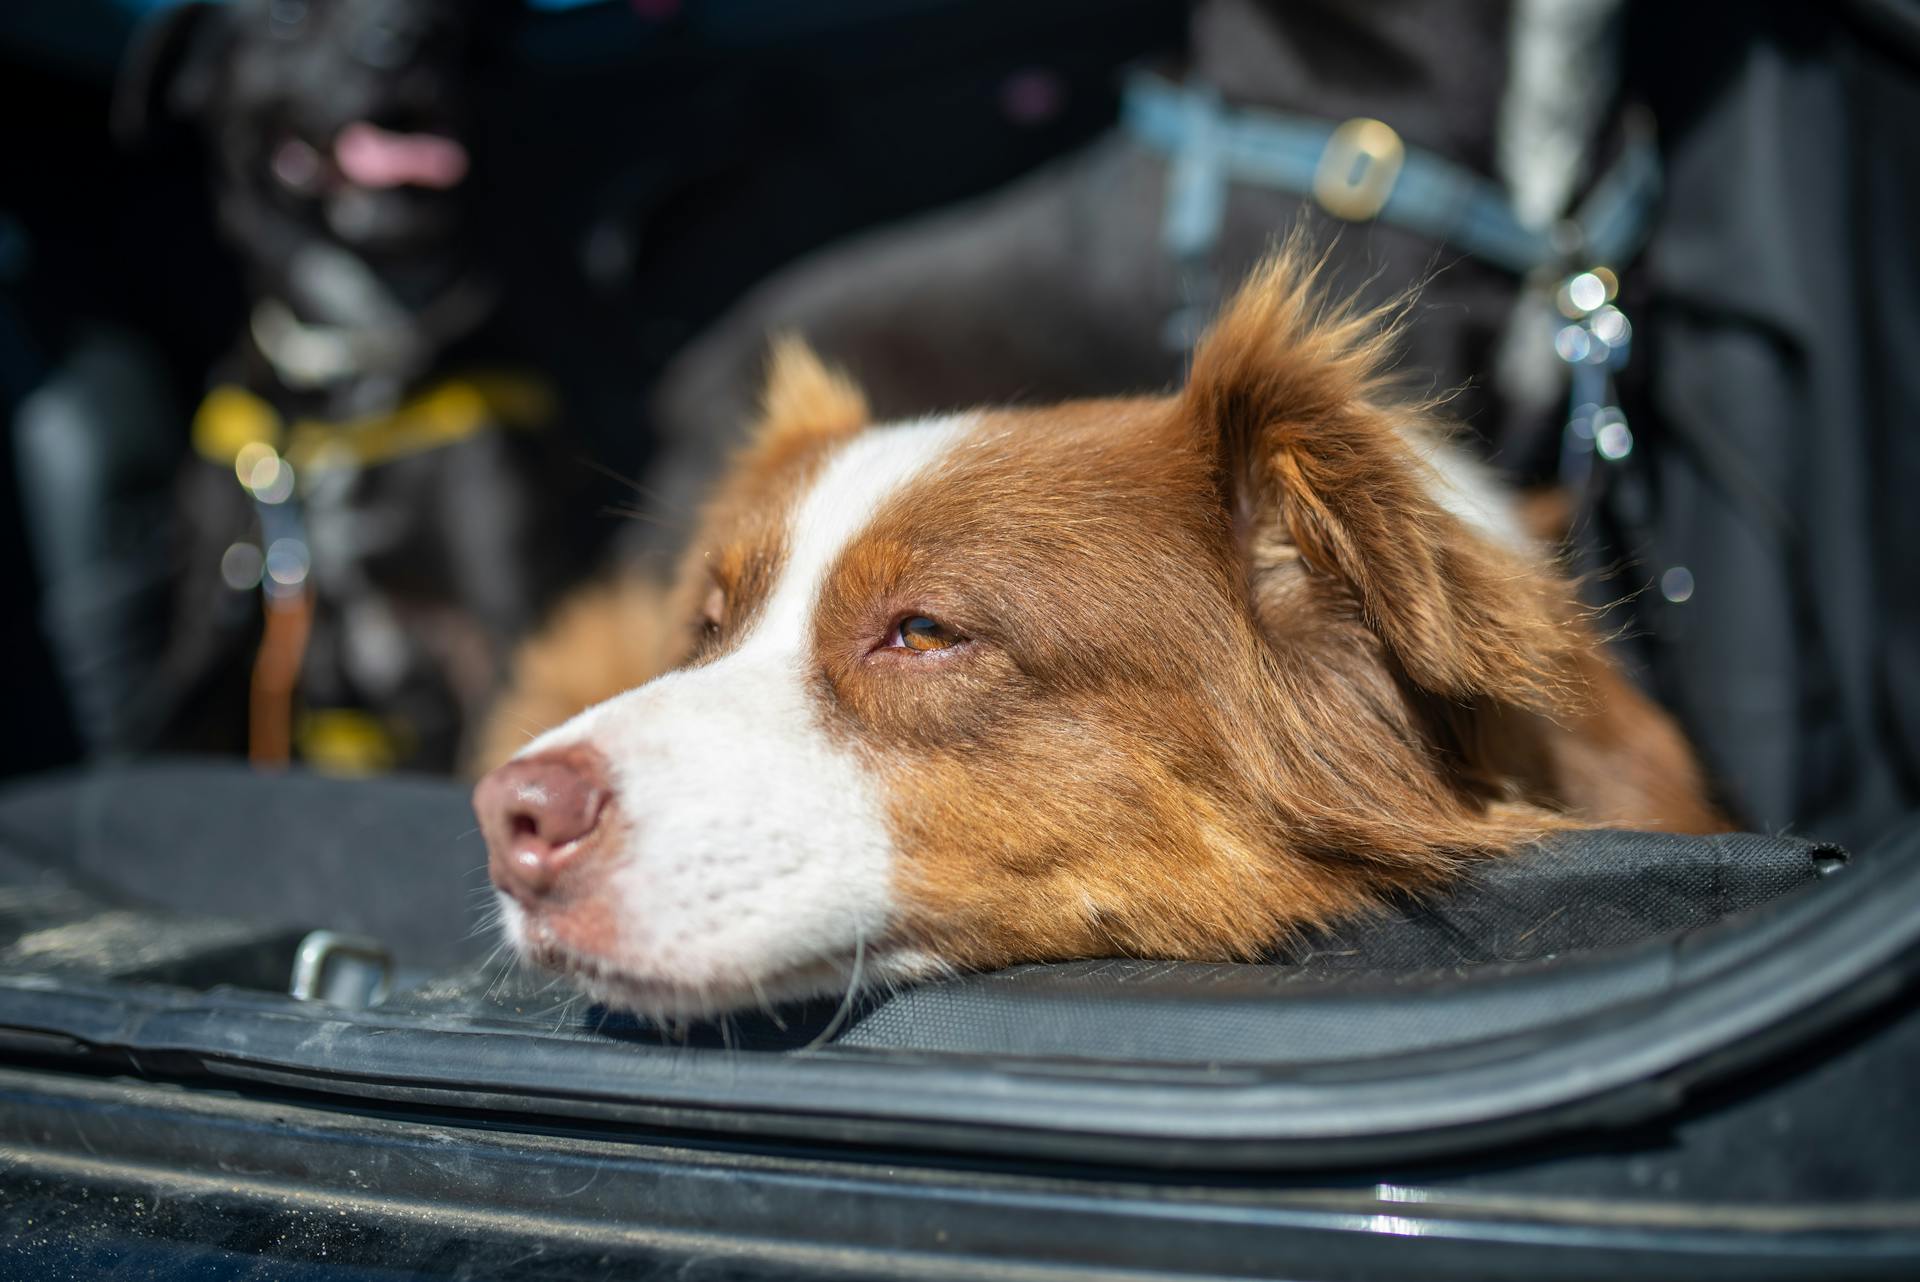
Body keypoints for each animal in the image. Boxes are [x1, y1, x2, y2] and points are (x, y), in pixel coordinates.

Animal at [120, 0, 599, 771]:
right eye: (282, 17)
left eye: (445, 18)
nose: (403, 38)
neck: (355, 361)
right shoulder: (207, 622)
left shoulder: (500, 623)